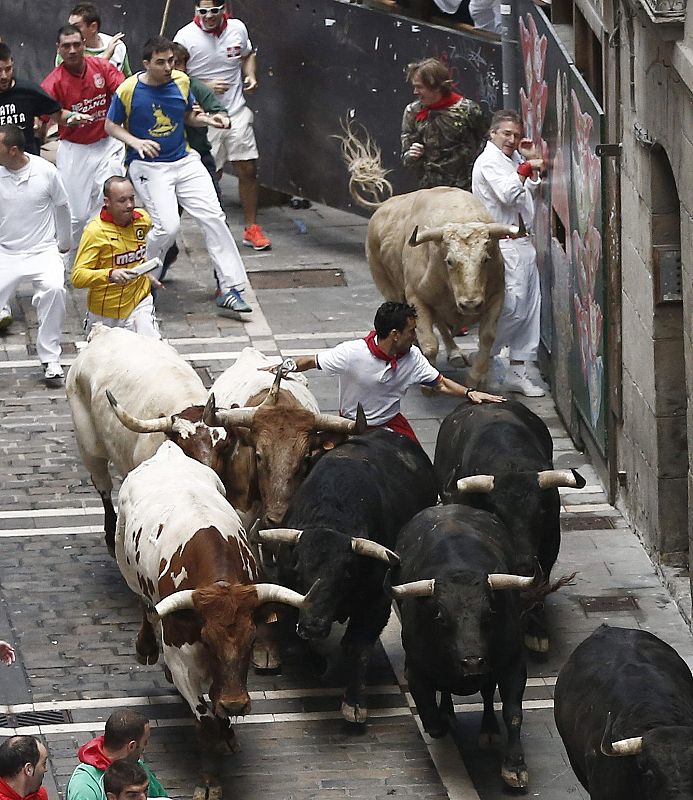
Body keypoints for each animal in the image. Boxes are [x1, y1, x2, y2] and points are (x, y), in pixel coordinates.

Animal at [256, 432, 436, 724]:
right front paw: (316, 663)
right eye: (299, 571)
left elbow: (358, 647)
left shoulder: (377, 602)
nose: (313, 626)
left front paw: (354, 703)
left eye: (346, 574)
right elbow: (297, 645)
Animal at [364, 188, 516, 388]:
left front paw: (475, 377)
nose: (470, 304)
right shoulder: (417, 298)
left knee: (441, 324)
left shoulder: (496, 296)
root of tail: (383, 207)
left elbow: (487, 336)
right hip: (388, 287)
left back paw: (455, 353)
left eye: (485, 259)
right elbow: (429, 342)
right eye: (450, 261)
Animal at [436, 396, 580, 652]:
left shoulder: (550, 539)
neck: (509, 463)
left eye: (540, 514)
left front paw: (536, 630)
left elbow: (540, 579)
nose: (524, 566)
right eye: (497, 514)